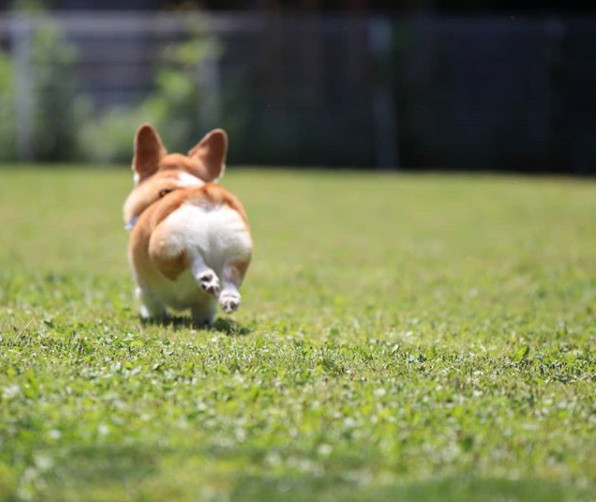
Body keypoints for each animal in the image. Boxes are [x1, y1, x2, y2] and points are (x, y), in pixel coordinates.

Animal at [121, 123, 251, 324]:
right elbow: (203, 311)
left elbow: (152, 306)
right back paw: (228, 297)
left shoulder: (145, 290)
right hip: (237, 251)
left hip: (164, 246)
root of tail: (206, 194)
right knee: (229, 277)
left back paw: (205, 277)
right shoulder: (204, 305)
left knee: (190, 256)